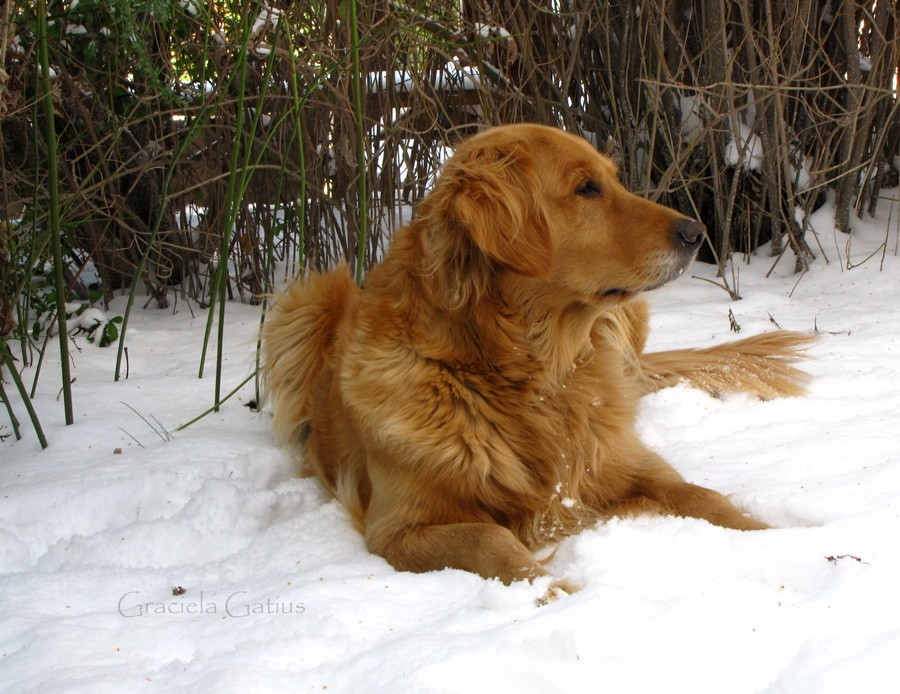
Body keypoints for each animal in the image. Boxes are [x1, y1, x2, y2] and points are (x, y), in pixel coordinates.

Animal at [258, 125, 808, 600]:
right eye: (586, 188)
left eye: (613, 178)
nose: (697, 231)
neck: (533, 376)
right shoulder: (397, 526)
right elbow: (490, 540)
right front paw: (552, 592)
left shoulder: (619, 462)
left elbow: (700, 494)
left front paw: (777, 537)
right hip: (306, 299)